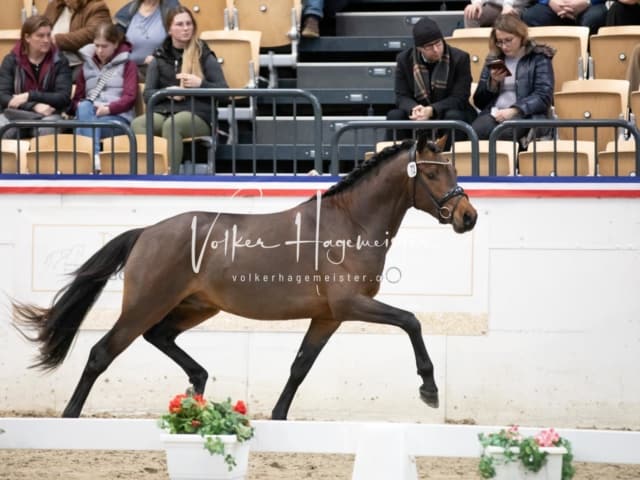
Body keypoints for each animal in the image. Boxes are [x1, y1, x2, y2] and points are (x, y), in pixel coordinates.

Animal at [12, 134, 478, 416]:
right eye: (432, 173)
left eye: (454, 170)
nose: (468, 217)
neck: (350, 223)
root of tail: (146, 232)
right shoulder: (351, 305)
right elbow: (410, 321)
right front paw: (429, 389)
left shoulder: (328, 316)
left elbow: (300, 366)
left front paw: (278, 416)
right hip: (146, 305)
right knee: (101, 353)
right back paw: (71, 417)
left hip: (196, 307)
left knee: (161, 338)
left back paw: (197, 389)